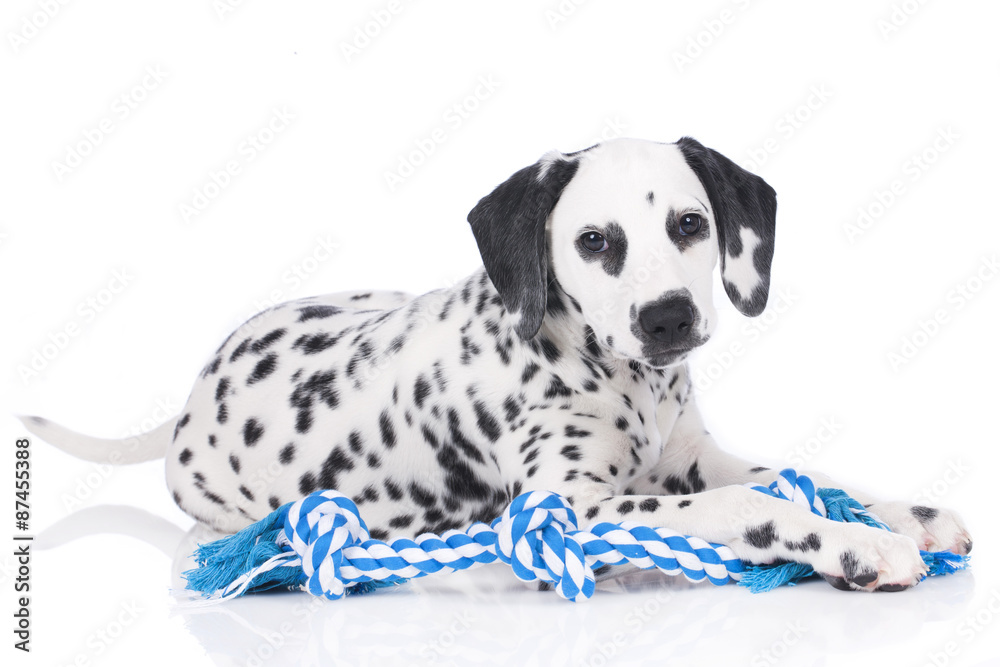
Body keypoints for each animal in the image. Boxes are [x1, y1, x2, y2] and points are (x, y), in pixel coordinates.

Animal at [23, 134, 968, 588]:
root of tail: (190, 398)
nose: (667, 318)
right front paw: (855, 546)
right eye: (595, 241)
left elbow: (800, 473)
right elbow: (748, 504)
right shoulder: (571, 503)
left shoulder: (691, 457)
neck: (627, 384)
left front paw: (902, 512)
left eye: (691, 225)